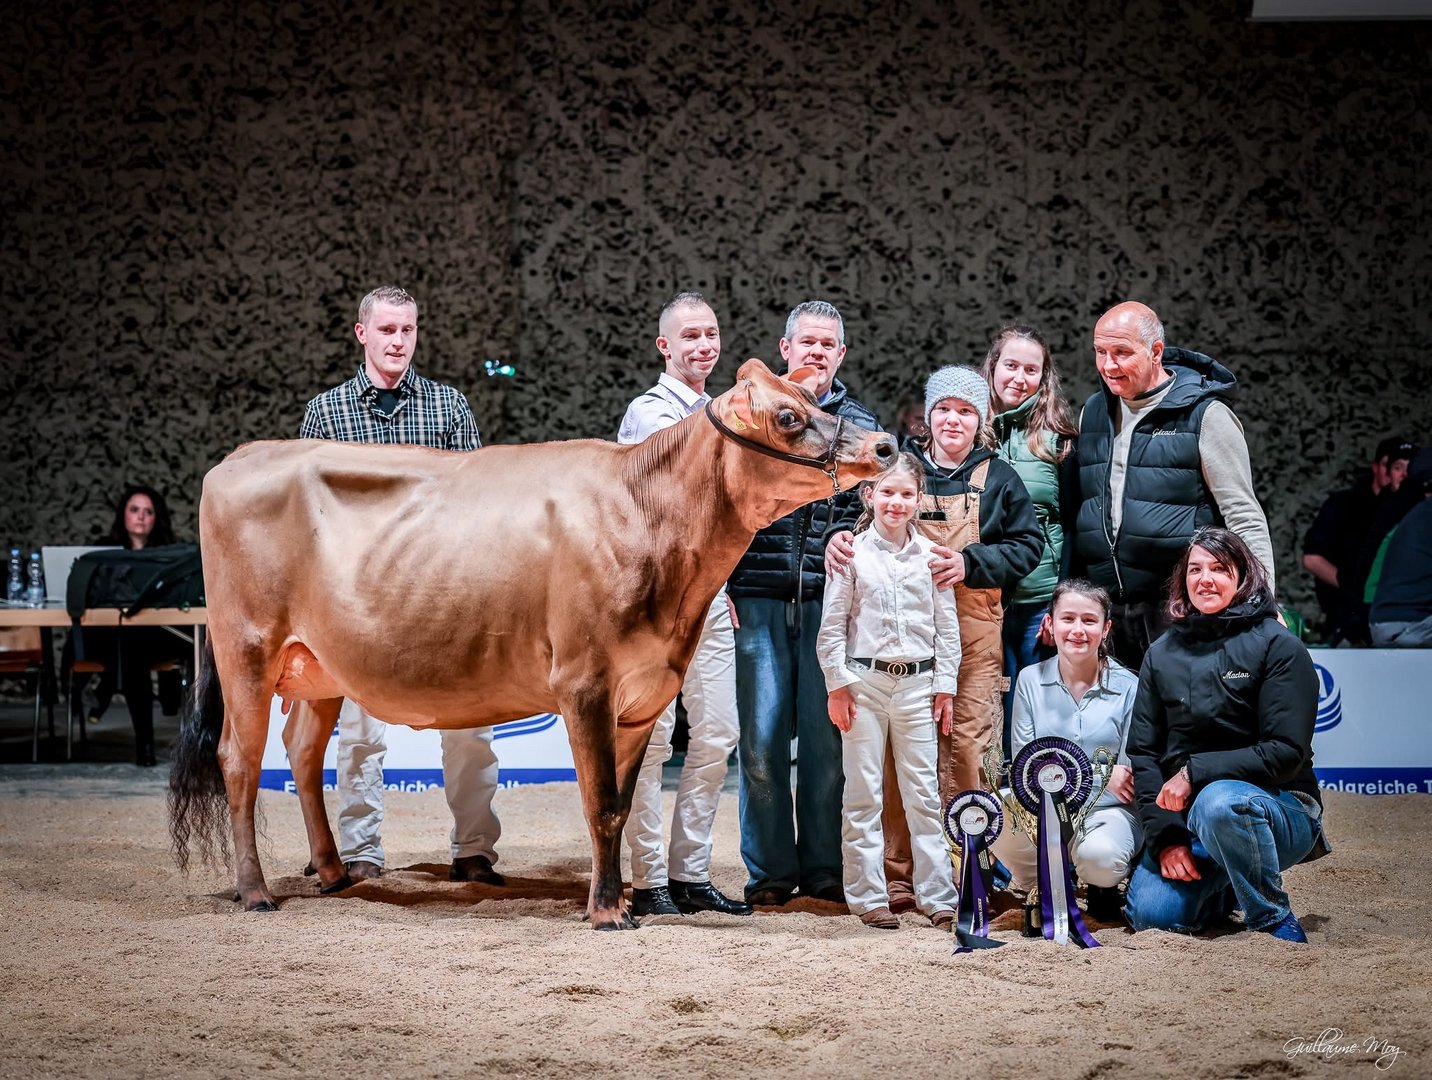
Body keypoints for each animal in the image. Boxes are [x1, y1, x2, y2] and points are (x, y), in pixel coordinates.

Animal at [168, 358, 897, 929]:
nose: (887, 446)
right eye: (788, 417)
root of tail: (242, 456)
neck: (646, 514)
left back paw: (332, 873)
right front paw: (606, 912)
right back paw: (256, 892)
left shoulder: (647, 691)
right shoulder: (585, 682)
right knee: (240, 761)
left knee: (300, 750)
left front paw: (620, 901)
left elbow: (621, 806)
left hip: (317, 664)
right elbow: (599, 802)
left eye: (813, 401)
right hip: (245, 647)